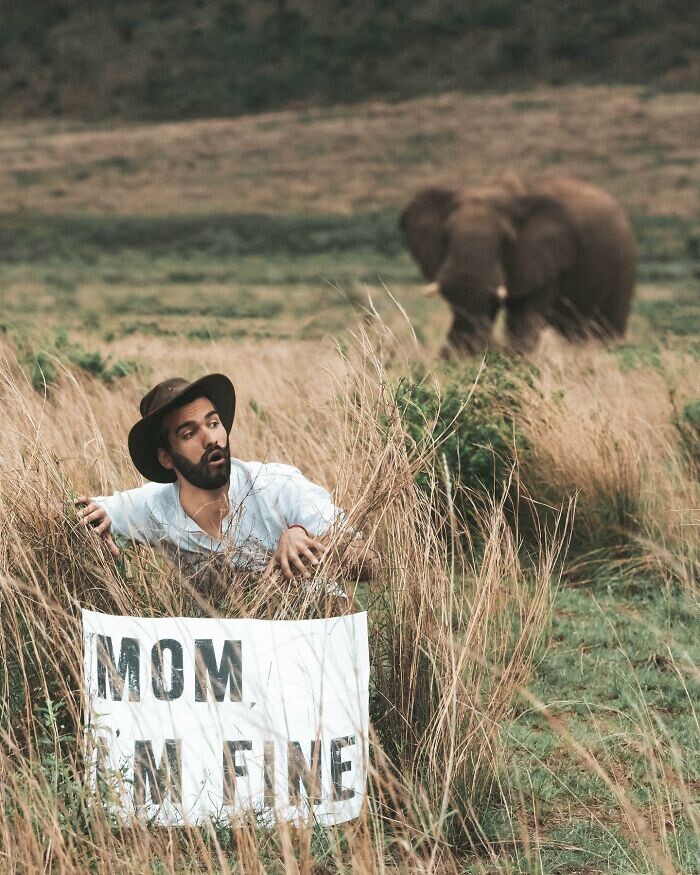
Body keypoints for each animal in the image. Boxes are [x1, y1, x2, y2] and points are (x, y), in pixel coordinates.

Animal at [400, 176, 636, 354]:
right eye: (445, 238)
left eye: (506, 242)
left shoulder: (545, 264)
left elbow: (523, 321)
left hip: (624, 265)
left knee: (607, 328)